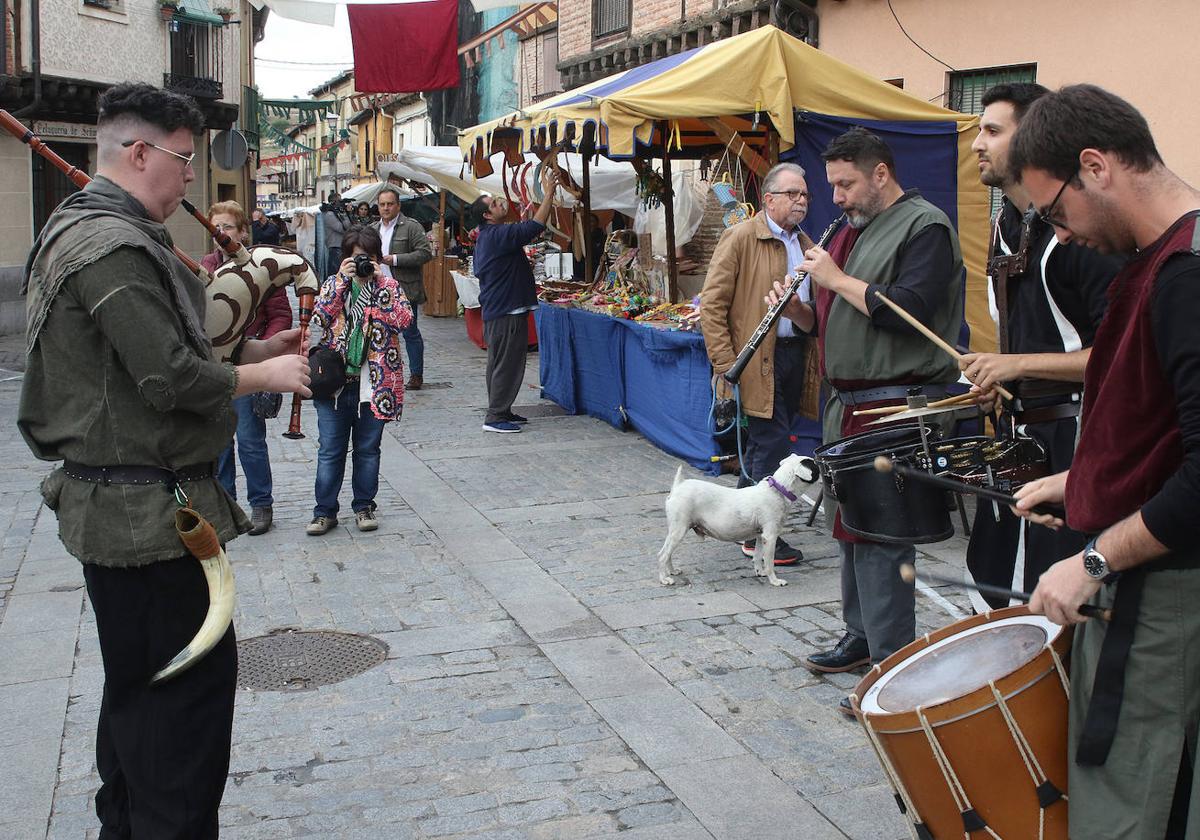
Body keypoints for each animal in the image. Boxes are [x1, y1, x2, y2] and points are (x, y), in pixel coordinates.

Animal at [657, 456, 816, 588]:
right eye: (815, 465)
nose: (820, 460)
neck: (778, 489)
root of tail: (679, 485)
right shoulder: (770, 537)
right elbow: (769, 562)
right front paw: (775, 581)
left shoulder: (760, 536)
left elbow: (758, 557)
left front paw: (760, 572)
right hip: (679, 530)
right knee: (663, 555)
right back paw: (664, 579)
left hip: (675, 531)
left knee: (667, 553)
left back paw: (672, 571)